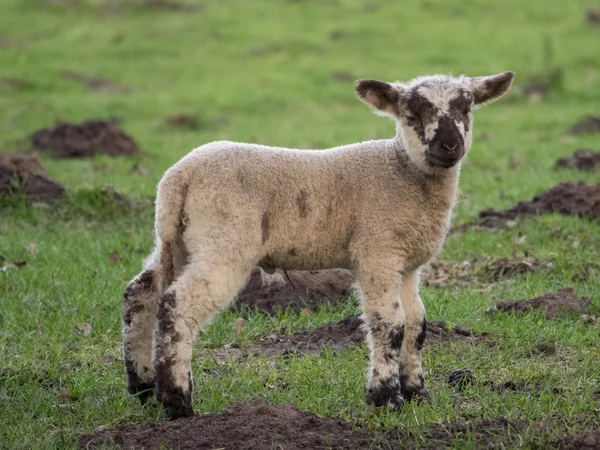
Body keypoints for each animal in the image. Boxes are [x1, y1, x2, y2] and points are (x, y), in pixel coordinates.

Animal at [123, 70, 516, 418]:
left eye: (467, 109)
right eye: (412, 113)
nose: (449, 145)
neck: (403, 172)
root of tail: (180, 176)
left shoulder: (407, 264)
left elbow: (416, 325)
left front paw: (417, 393)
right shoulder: (377, 251)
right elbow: (390, 324)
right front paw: (386, 399)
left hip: (179, 240)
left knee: (141, 293)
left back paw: (142, 386)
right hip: (223, 242)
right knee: (176, 304)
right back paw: (178, 403)